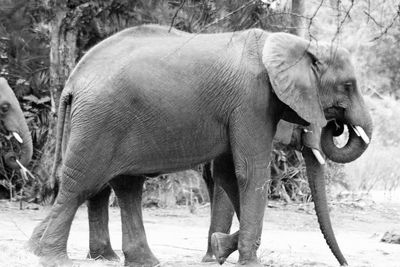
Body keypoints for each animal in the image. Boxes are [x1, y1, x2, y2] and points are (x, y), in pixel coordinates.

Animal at [27, 24, 372, 267]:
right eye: (348, 85)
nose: (336, 125)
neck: (296, 44)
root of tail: (73, 79)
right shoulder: (251, 102)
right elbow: (251, 174)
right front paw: (246, 260)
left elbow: (228, 176)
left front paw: (220, 248)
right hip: (100, 120)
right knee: (81, 184)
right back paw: (51, 257)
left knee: (125, 186)